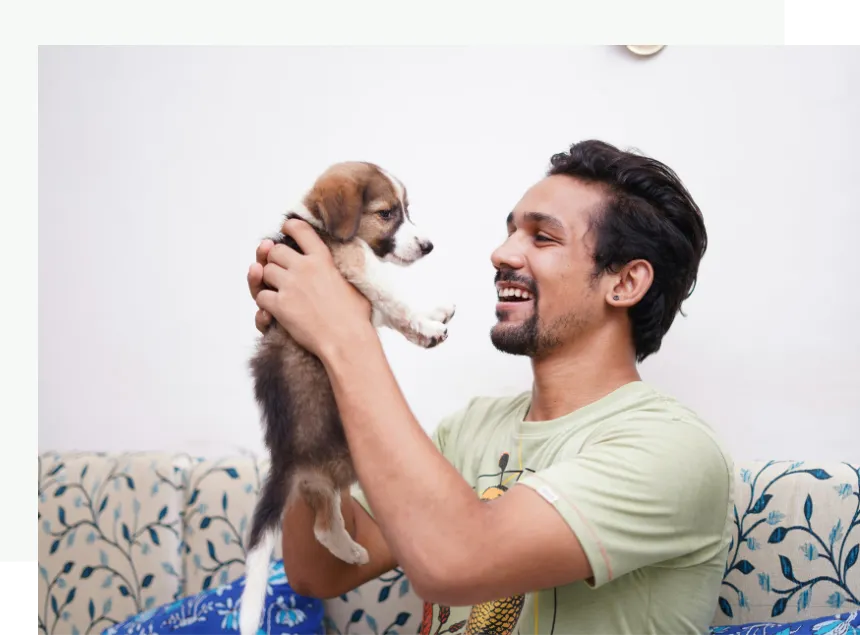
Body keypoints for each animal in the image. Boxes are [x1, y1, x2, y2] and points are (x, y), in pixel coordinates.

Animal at [239, 160, 454, 635]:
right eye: (387, 213)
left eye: (407, 210)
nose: (429, 246)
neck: (319, 226)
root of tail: (287, 460)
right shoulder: (357, 265)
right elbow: (394, 298)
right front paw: (428, 324)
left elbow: (391, 314)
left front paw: (432, 317)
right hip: (357, 459)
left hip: (323, 483)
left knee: (324, 526)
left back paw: (353, 551)